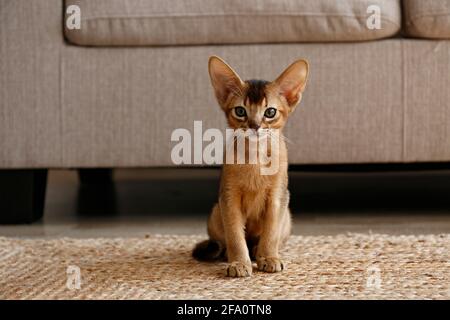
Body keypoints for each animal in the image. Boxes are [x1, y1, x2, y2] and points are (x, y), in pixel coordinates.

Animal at [193, 56, 310, 276]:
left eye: (270, 112)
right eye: (240, 111)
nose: (255, 126)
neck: (256, 158)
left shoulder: (277, 197)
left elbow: (271, 233)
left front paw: (269, 257)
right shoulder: (229, 197)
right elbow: (235, 236)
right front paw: (239, 263)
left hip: (287, 216)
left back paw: (258, 250)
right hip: (216, 211)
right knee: (224, 241)